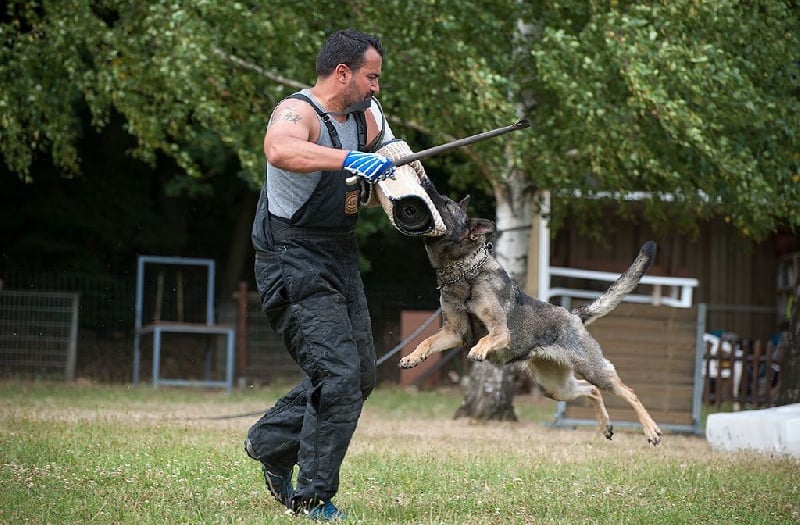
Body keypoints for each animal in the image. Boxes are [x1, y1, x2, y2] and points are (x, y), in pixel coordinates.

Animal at [398, 187, 663, 446]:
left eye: (446, 204)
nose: (427, 191)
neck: (464, 271)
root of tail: (574, 316)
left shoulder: (500, 331)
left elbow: (487, 338)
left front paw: (479, 350)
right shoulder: (453, 332)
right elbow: (427, 342)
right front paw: (412, 357)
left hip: (592, 370)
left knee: (628, 392)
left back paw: (652, 431)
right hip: (555, 388)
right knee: (591, 390)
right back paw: (606, 426)